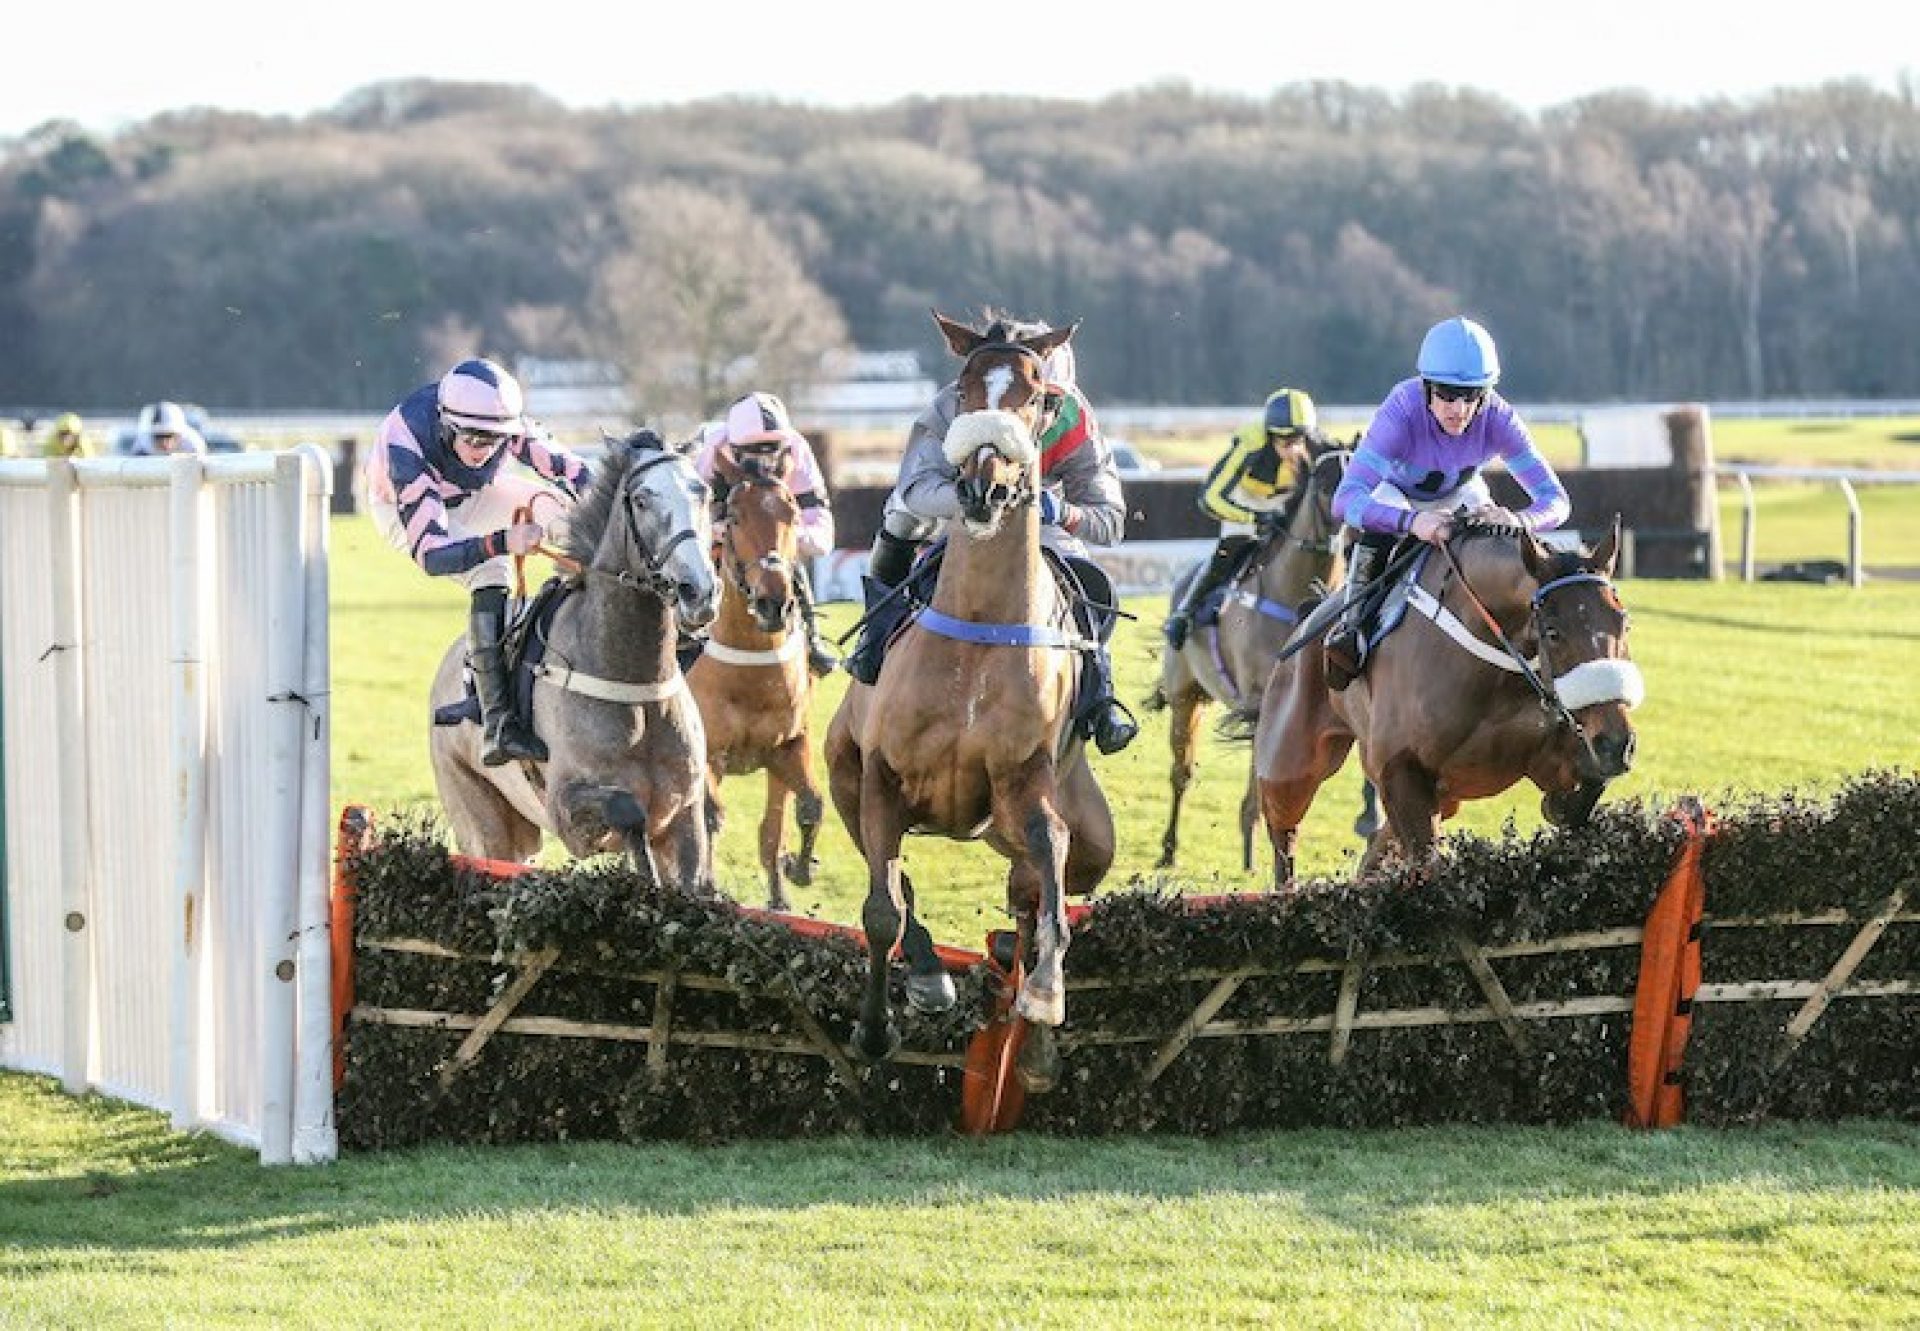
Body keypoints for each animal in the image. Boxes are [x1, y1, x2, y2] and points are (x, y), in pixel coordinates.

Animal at [432, 426, 721, 887]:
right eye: (642, 499)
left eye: (703, 493)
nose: (699, 591)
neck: (633, 680)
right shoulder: (568, 812)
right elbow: (628, 810)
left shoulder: (684, 815)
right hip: (480, 816)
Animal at [821, 311, 1121, 1090]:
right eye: (964, 388)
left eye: (1038, 396)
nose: (984, 486)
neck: (981, 627)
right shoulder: (881, 778)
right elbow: (882, 908)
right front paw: (877, 1027)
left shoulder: (1026, 785)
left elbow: (1050, 875)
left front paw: (1045, 999)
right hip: (841, 781)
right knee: (897, 881)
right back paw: (930, 974)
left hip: (1075, 839)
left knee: (1032, 893)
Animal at [1251, 514, 1643, 887]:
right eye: (1553, 632)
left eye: (1624, 623)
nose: (1616, 743)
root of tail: (1308, 617)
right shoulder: (1399, 770)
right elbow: (1428, 863)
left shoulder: (1552, 753)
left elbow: (1586, 787)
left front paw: (1561, 806)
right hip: (1290, 767)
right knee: (1284, 836)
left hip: (1445, 797)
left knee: (1374, 850)